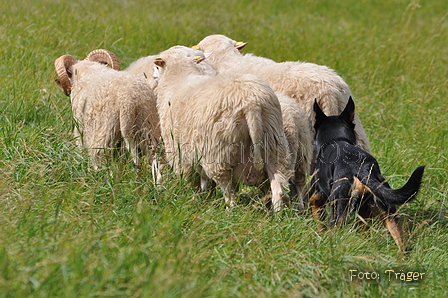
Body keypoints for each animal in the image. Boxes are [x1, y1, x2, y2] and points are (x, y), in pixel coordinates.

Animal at [154, 45, 292, 211]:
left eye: (157, 66)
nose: (153, 78)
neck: (180, 77)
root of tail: (252, 104)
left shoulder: (180, 154)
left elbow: (191, 181)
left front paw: (190, 198)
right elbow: (204, 181)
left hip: (219, 152)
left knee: (228, 190)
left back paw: (230, 210)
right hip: (273, 143)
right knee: (278, 186)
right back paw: (277, 213)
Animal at [308, 98, 424, 251]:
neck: (337, 140)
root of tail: (361, 168)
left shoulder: (316, 196)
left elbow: (319, 221)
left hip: (340, 209)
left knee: (335, 231)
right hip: (388, 213)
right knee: (401, 245)